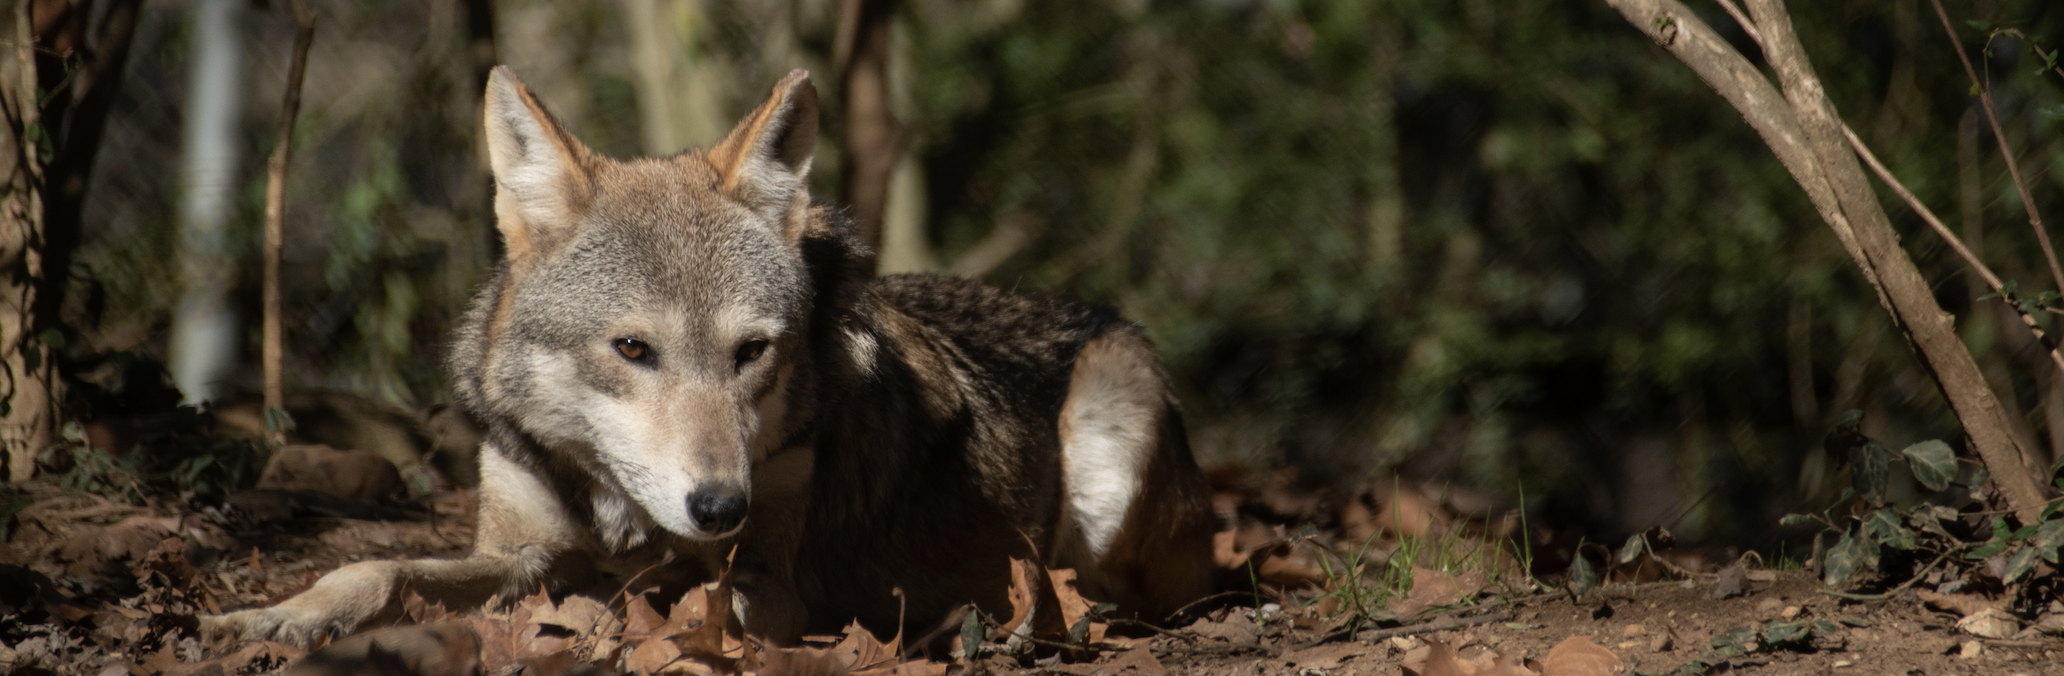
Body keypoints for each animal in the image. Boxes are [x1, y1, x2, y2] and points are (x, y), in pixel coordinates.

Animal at [205, 66, 1219, 647]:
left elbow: (658, 602)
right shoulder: (515, 543)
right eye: (632, 348)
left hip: (1113, 419)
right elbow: (380, 570)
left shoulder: (775, 587)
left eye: (752, 352)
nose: (721, 505)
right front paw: (284, 616)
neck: (622, 513)